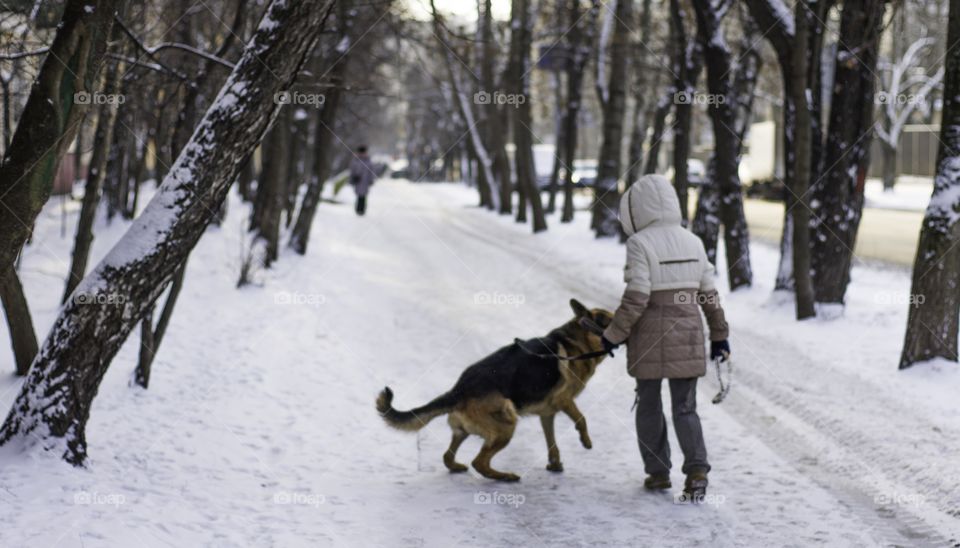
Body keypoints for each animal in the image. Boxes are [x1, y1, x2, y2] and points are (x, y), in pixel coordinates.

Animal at [376, 298, 616, 482]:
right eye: (611, 320)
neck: (579, 340)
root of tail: (459, 389)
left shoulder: (547, 413)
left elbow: (551, 441)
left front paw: (555, 464)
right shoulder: (564, 401)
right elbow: (581, 418)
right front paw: (586, 441)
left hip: (465, 430)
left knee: (448, 456)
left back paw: (460, 467)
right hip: (507, 422)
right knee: (478, 462)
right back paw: (505, 476)